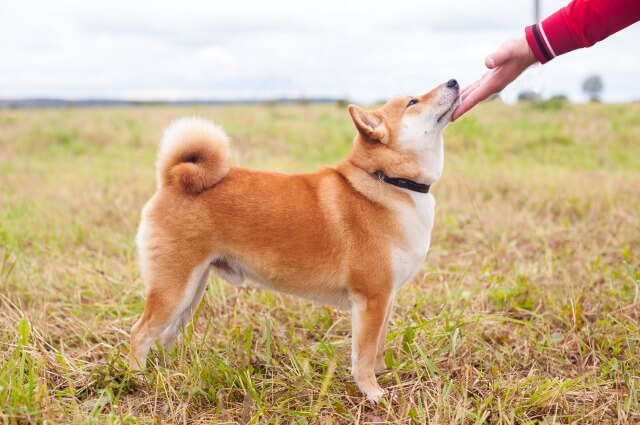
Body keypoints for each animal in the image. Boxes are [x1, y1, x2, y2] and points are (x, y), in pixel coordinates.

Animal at [130, 78, 460, 400]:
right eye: (413, 101)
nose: (454, 82)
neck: (387, 181)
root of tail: (172, 180)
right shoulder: (370, 299)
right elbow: (364, 355)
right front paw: (372, 391)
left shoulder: (384, 299)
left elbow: (377, 348)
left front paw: (382, 375)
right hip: (174, 289)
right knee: (140, 333)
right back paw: (138, 378)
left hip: (192, 291)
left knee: (166, 335)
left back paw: (176, 371)